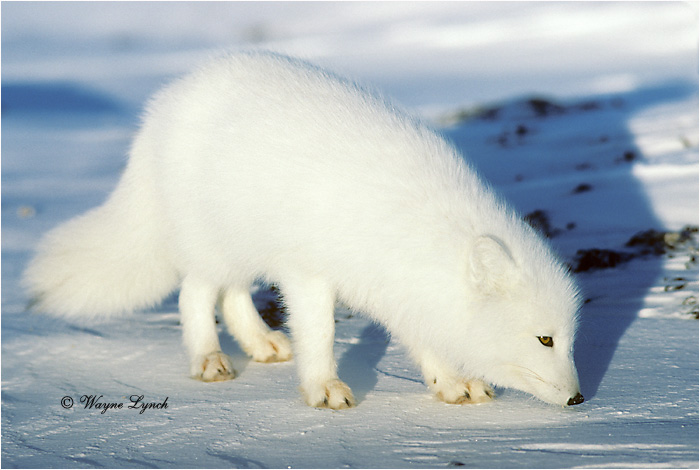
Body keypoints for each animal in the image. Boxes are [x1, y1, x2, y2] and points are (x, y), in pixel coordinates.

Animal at [24, 51, 584, 409]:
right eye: (545, 339)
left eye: (566, 337)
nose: (580, 398)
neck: (410, 226)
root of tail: (164, 105)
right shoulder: (308, 273)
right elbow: (320, 333)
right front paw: (324, 390)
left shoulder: (396, 286)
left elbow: (423, 337)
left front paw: (451, 382)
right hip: (214, 242)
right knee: (194, 293)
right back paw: (209, 358)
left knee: (231, 296)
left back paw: (262, 345)